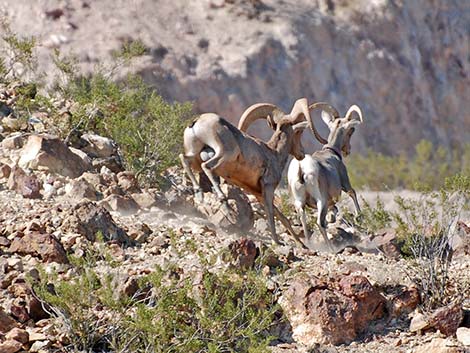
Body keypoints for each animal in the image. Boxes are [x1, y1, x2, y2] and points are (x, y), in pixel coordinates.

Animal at [181, 96, 316, 245]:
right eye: (298, 133)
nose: (301, 153)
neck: (274, 153)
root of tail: (196, 123)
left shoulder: (258, 193)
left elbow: (281, 217)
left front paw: (301, 244)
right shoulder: (268, 188)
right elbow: (271, 215)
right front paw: (276, 241)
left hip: (195, 156)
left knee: (185, 159)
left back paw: (199, 194)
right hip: (225, 153)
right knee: (207, 166)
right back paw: (226, 206)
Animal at [286, 102, 364, 248]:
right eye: (351, 131)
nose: (348, 150)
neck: (331, 152)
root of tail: (301, 167)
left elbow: (334, 209)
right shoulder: (345, 184)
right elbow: (352, 193)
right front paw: (359, 216)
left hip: (299, 202)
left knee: (304, 220)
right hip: (320, 200)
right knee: (319, 223)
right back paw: (331, 248)